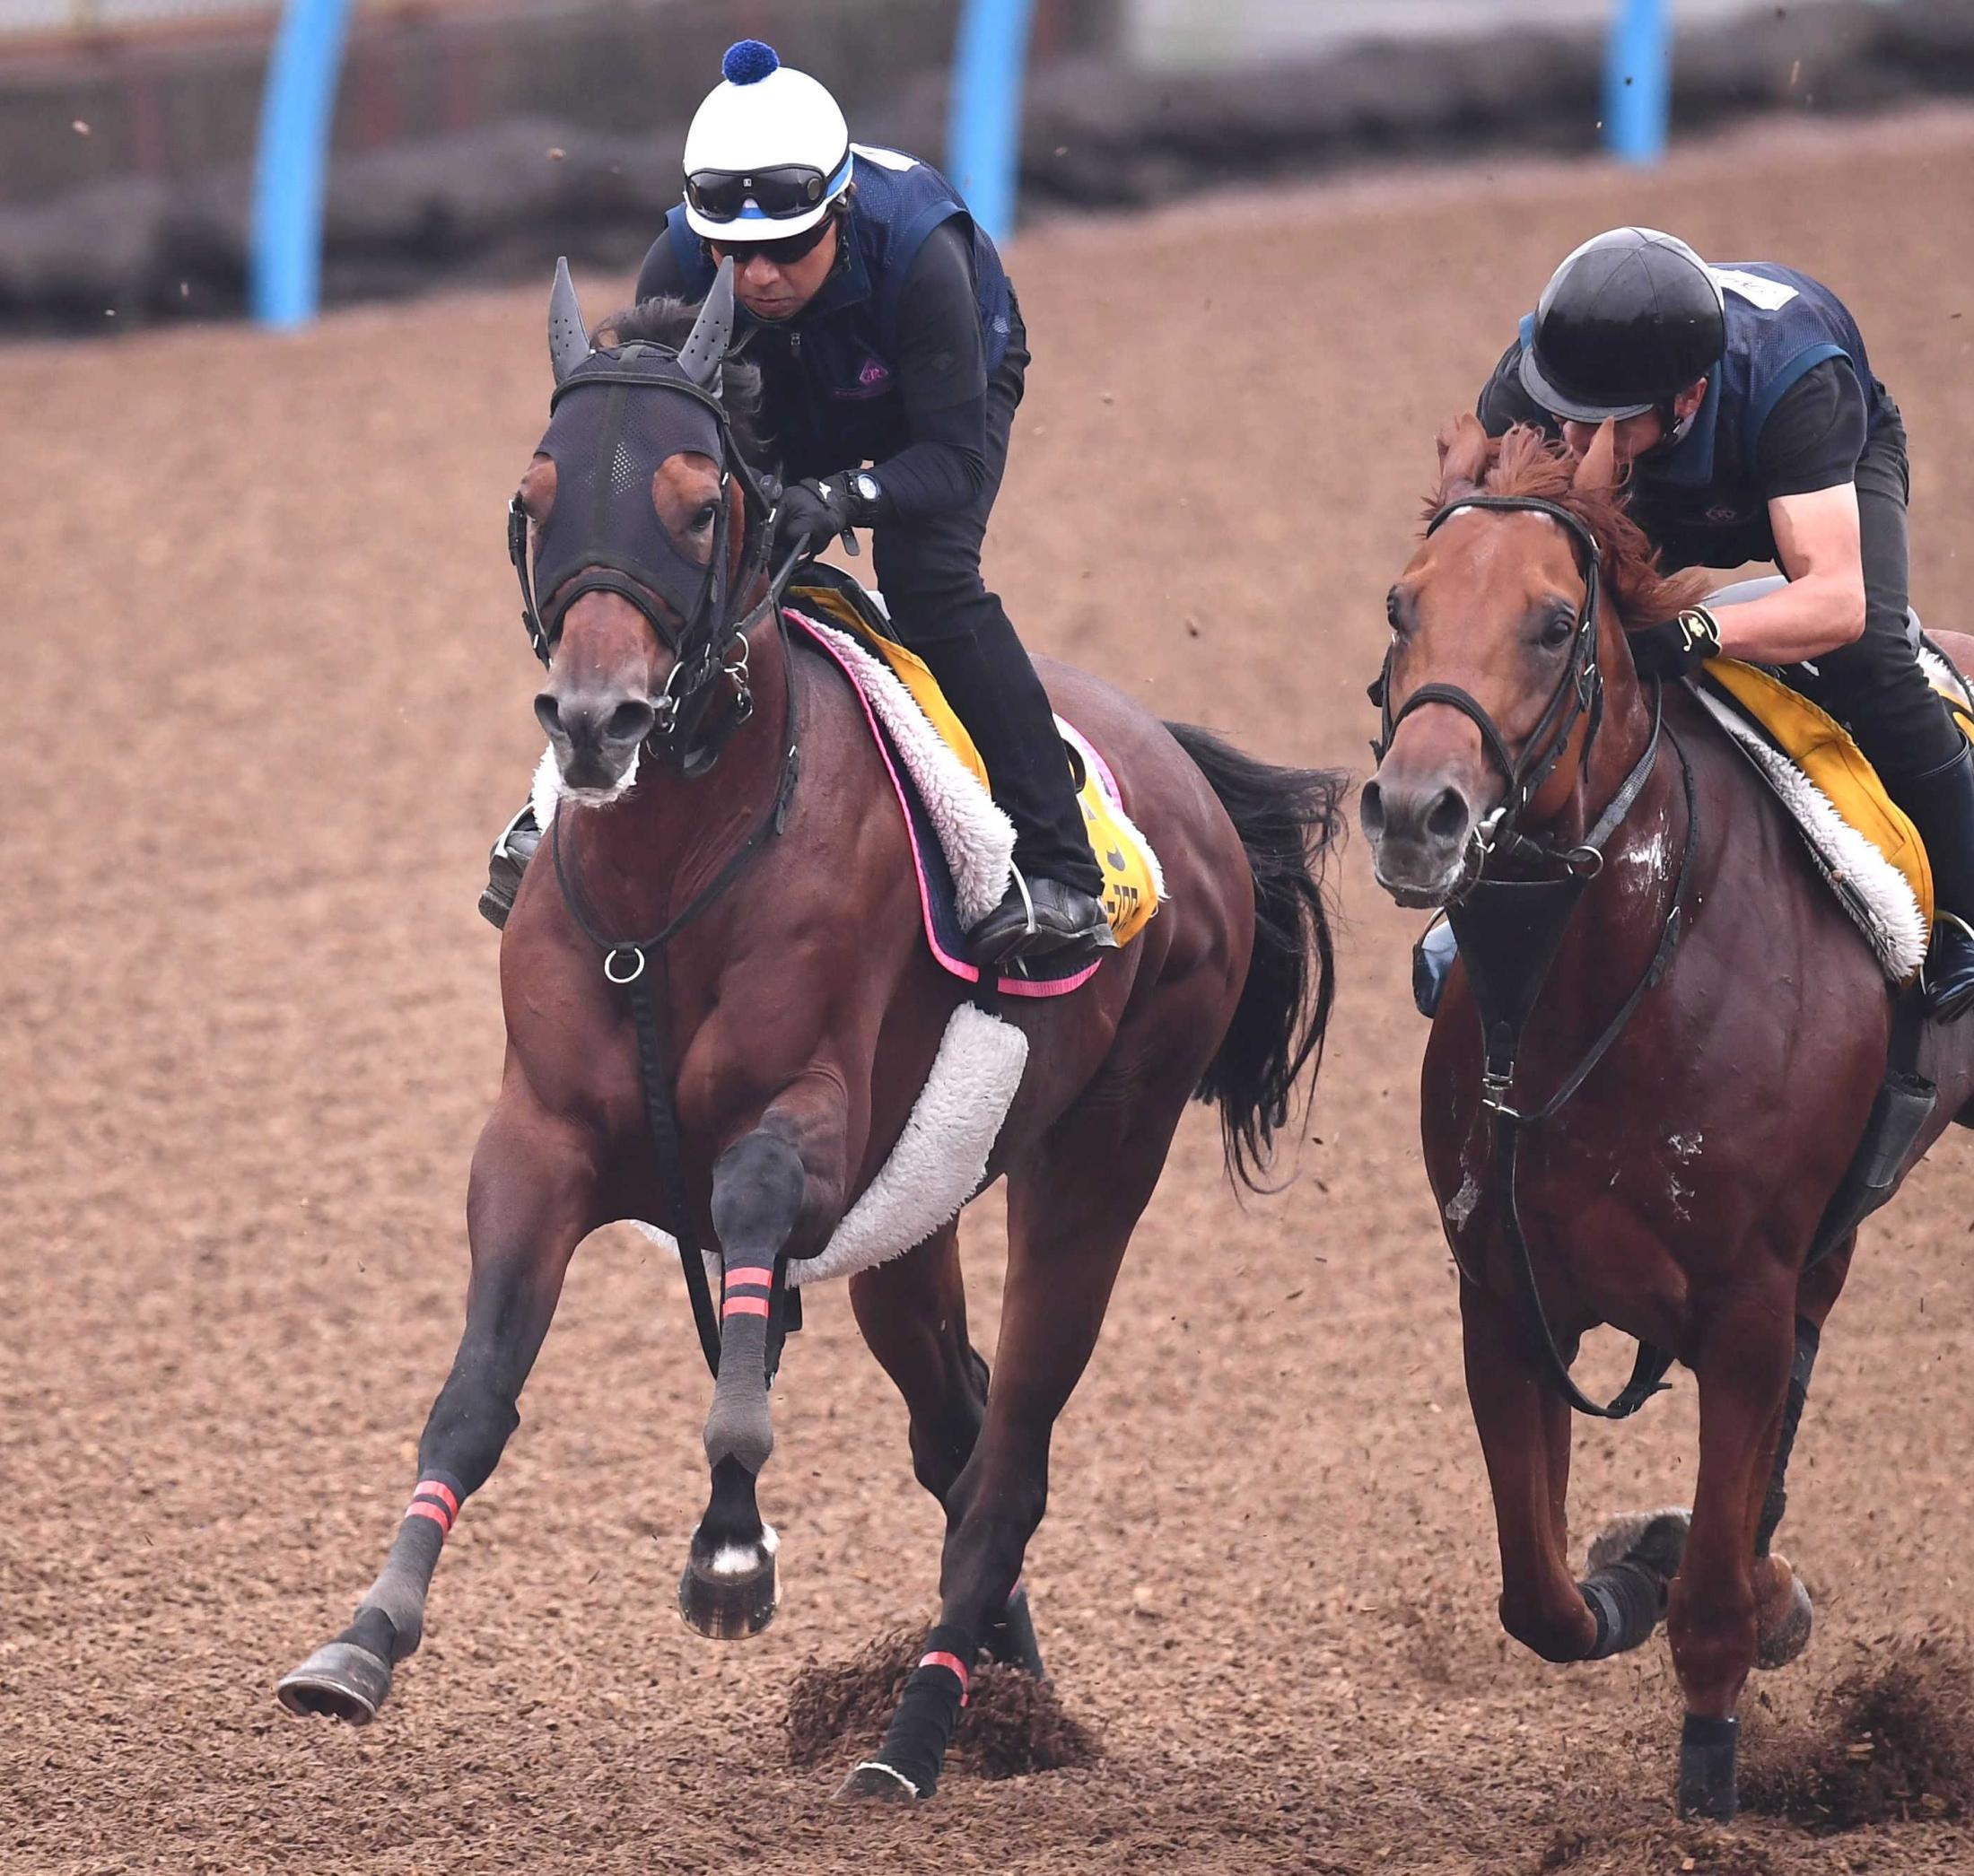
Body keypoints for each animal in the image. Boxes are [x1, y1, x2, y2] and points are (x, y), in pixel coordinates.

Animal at [274, 264, 1342, 1809]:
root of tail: (1188, 780)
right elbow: (473, 1390)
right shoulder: (540, 1137)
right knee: (958, 1431)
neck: (662, 884)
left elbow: (747, 1284)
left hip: (1099, 1156)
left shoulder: (813, 1136)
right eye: (536, 494)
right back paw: (1006, 1697)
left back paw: (915, 1735)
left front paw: (730, 1550)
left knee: (1010, 1456)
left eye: (698, 501)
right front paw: (363, 1635)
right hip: (922, 1212)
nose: (595, 719)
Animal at [1358, 414, 1974, 1824]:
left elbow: (1709, 1616)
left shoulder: (1740, 1305)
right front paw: (1640, 1563)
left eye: (1551, 624)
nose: (1418, 815)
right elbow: (1542, 1597)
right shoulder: (1507, 1292)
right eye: (1401, 605)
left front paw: (1712, 1770)